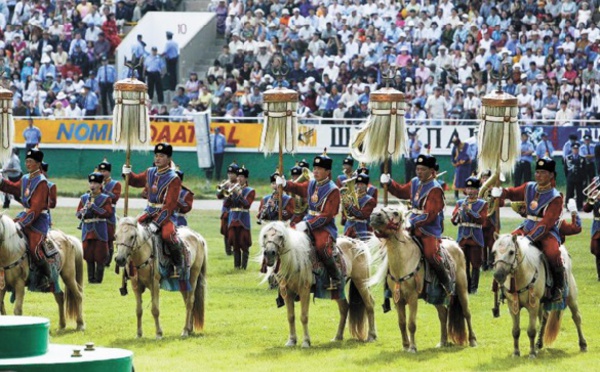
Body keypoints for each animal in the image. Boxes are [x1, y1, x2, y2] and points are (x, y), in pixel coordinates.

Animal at [258, 219, 376, 348]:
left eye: (280, 236)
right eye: (265, 235)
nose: (269, 253)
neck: (294, 259)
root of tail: (358, 242)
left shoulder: (304, 290)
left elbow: (304, 316)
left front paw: (306, 342)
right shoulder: (287, 292)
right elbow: (290, 317)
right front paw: (291, 341)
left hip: (361, 281)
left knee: (369, 304)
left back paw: (371, 336)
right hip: (338, 289)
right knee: (344, 308)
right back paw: (338, 336)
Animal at [368, 205, 476, 354]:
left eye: (395, 213)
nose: (374, 216)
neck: (403, 262)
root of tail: (456, 245)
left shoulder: (412, 297)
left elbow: (411, 324)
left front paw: (413, 347)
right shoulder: (398, 299)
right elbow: (401, 323)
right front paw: (405, 345)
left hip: (462, 288)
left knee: (467, 313)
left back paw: (472, 340)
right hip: (435, 296)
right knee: (443, 313)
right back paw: (443, 341)